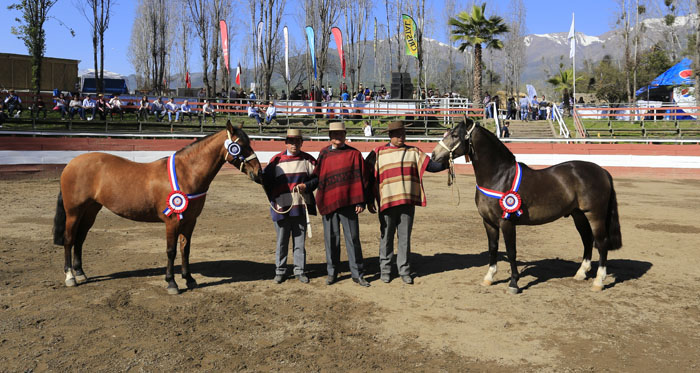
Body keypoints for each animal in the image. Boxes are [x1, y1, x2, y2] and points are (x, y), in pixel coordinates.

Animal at [52, 121, 262, 294]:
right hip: (73, 212)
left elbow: (185, 249)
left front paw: (189, 279)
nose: (259, 173)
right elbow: (171, 251)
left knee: (80, 239)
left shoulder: (190, 221)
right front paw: (172, 283)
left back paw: (81, 273)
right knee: (69, 239)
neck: (186, 173)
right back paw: (70, 277)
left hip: (90, 210)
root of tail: (71, 163)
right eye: (241, 146)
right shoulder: (172, 221)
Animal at [432, 120, 624, 294]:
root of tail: (602, 171)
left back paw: (598, 281)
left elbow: (511, 251)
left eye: (455, 135)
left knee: (601, 243)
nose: (433, 156)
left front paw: (513, 284)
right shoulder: (488, 222)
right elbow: (493, 248)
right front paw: (489, 278)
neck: (499, 177)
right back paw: (581, 273)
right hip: (579, 215)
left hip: (595, 215)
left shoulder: (507, 222)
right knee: (587, 240)